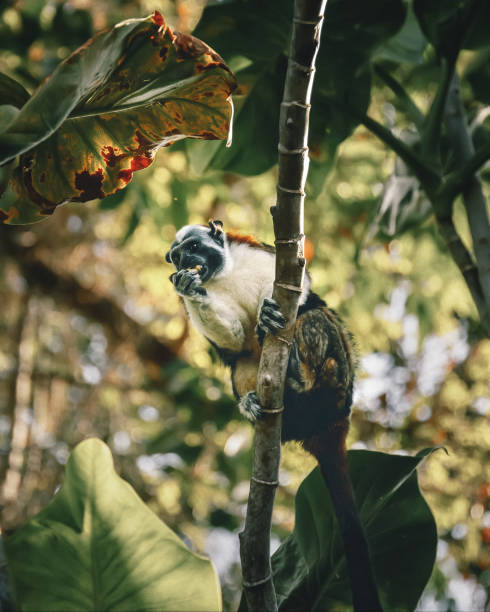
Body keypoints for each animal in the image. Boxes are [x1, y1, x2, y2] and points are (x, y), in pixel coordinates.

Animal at [165, 221, 382, 612]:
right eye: (177, 256)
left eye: (194, 247)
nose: (187, 261)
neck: (224, 274)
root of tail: (330, 423)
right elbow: (235, 343)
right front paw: (190, 288)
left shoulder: (260, 254)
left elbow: (301, 287)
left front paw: (270, 314)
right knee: (244, 362)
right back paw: (262, 401)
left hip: (340, 381)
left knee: (313, 317)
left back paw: (297, 373)